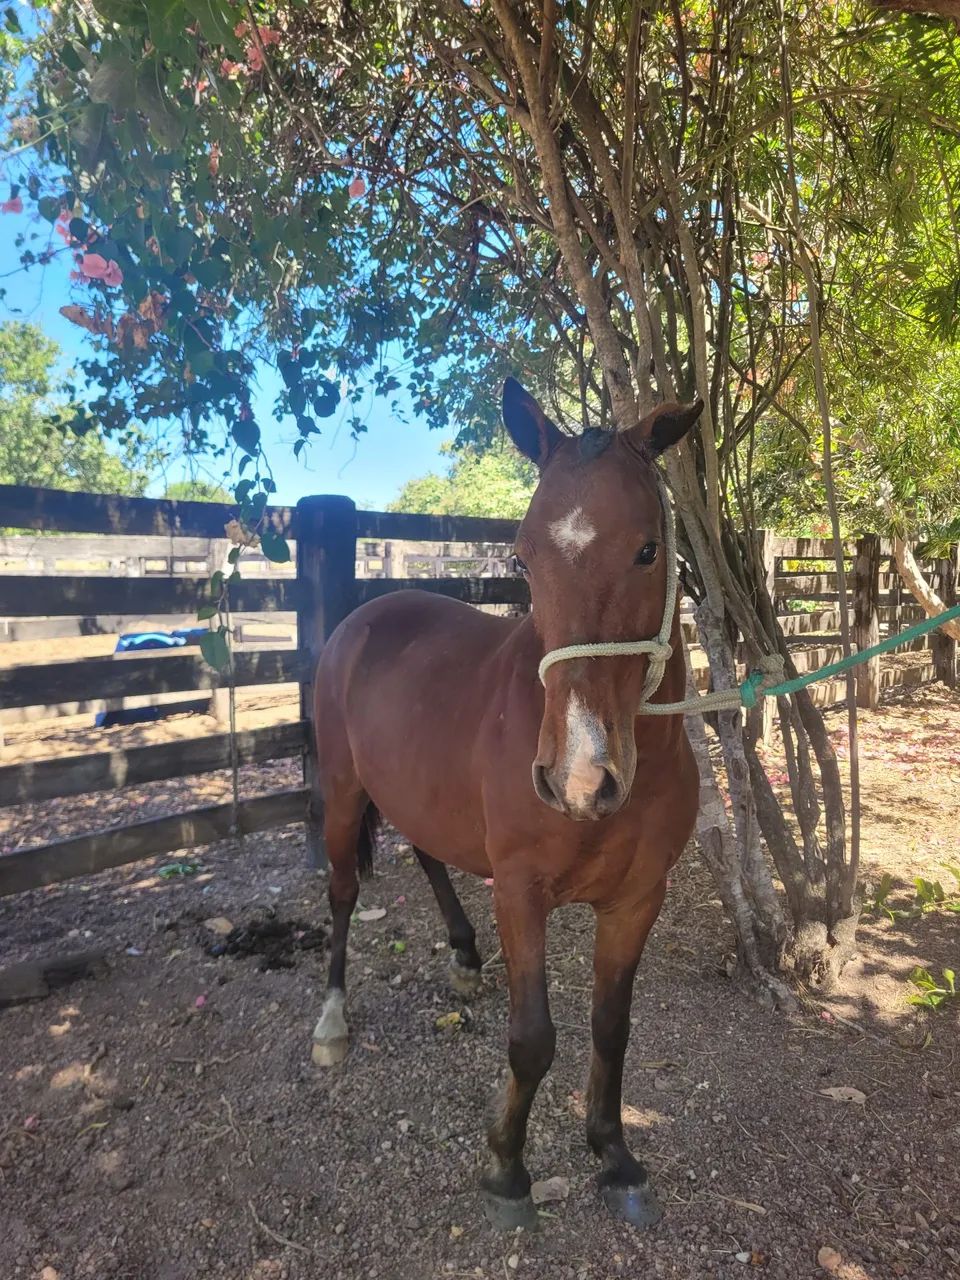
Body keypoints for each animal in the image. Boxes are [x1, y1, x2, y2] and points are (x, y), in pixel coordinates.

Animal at [310, 379, 703, 1230]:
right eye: (522, 555)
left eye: (648, 549)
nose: (580, 777)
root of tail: (364, 616)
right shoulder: (520, 894)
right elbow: (533, 1039)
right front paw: (506, 1168)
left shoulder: (638, 899)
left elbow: (611, 1027)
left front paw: (613, 1153)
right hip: (342, 792)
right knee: (342, 893)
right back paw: (331, 1022)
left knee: (428, 853)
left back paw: (462, 959)